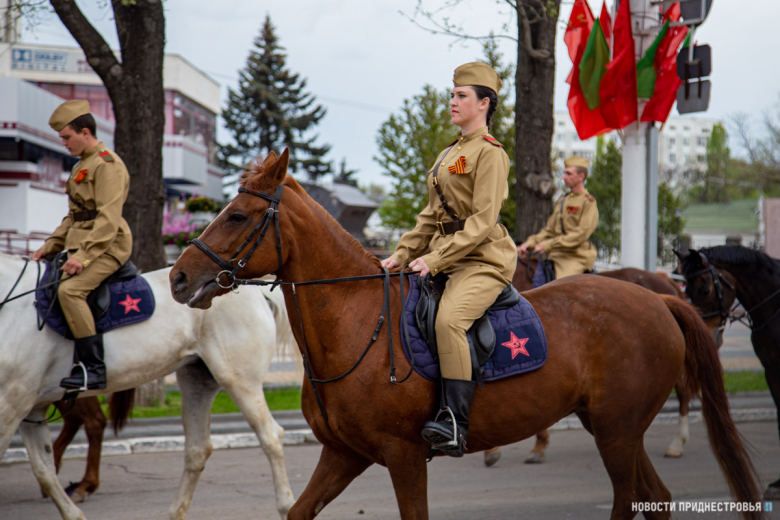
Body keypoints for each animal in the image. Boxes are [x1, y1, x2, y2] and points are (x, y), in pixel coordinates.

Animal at [0, 253, 296, 520]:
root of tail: (256, 293)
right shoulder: (30, 410)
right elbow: (44, 470)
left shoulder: (11, 406)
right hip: (198, 380)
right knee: (197, 449)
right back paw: (175, 512)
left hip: (239, 380)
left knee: (271, 436)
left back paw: (286, 506)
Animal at [169, 150, 761, 520]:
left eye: (238, 215)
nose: (177, 277)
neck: (358, 322)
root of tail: (658, 297)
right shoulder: (344, 454)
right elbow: (298, 511)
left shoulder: (404, 456)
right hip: (614, 427)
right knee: (653, 499)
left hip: (618, 431)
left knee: (632, 498)